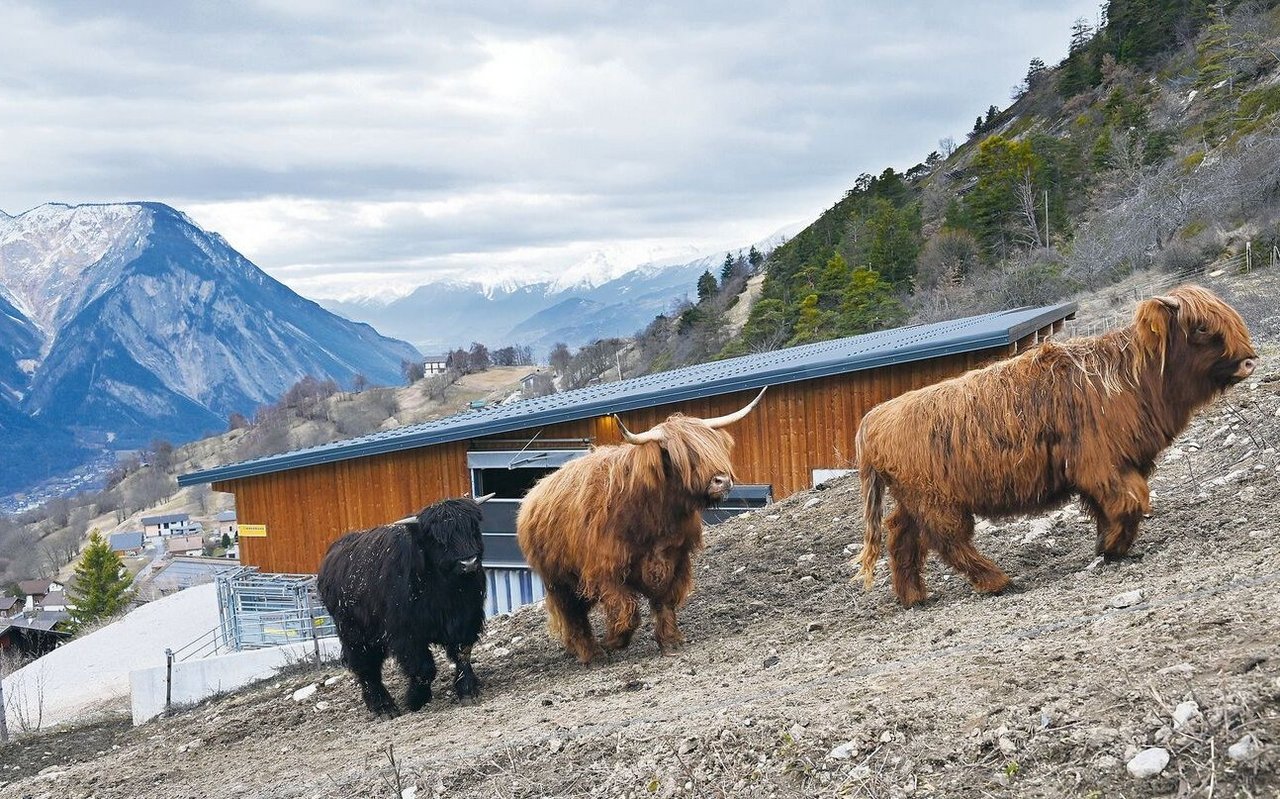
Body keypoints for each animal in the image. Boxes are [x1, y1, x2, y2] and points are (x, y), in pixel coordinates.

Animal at [314, 496, 488, 717]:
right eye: (438, 538)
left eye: (472, 527)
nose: (469, 562)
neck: (445, 589)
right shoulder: (407, 634)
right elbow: (423, 668)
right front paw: (415, 700)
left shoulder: (466, 619)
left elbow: (462, 655)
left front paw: (468, 690)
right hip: (354, 634)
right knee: (366, 668)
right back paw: (383, 707)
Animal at [514, 386, 762, 660]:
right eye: (682, 456)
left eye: (715, 446)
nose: (722, 481)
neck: (653, 516)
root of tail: (534, 492)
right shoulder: (605, 570)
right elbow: (627, 610)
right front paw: (614, 641)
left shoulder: (675, 559)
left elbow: (664, 602)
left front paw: (670, 642)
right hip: (557, 581)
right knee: (573, 616)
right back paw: (591, 654)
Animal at [855, 285, 1254, 604]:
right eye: (1202, 328)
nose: (1249, 361)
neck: (1132, 379)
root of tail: (874, 417)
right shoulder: (1101, 464)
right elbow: (1131, 501)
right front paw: (1112, 547)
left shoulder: (1116, 466)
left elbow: (1114, 507)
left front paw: (1108, 545)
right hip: (938, 501)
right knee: (948, 540)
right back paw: (997, 581)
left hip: (914, 500)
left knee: (901, 534)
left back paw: (914, 596)